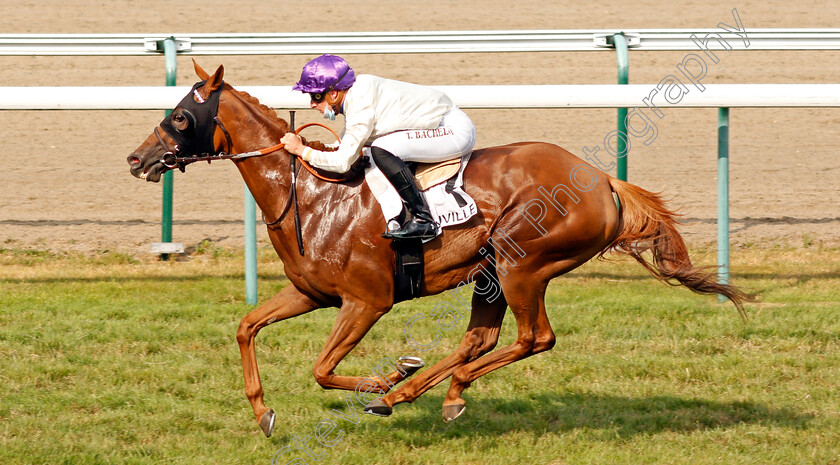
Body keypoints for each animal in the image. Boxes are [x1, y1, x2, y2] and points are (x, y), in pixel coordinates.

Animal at [126, 63, 748, 436]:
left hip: (524, 262)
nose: (137, 158)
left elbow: (323, 368)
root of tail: (603, 180)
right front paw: (263, 412)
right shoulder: (311, 293)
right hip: (492, 270)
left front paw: (381, 380)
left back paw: (405, 390)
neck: (311, 195)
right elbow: (246, 327)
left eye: (180, 115)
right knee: (482, 338)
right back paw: (440, 391)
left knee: (533, 338)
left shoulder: (368, 301)